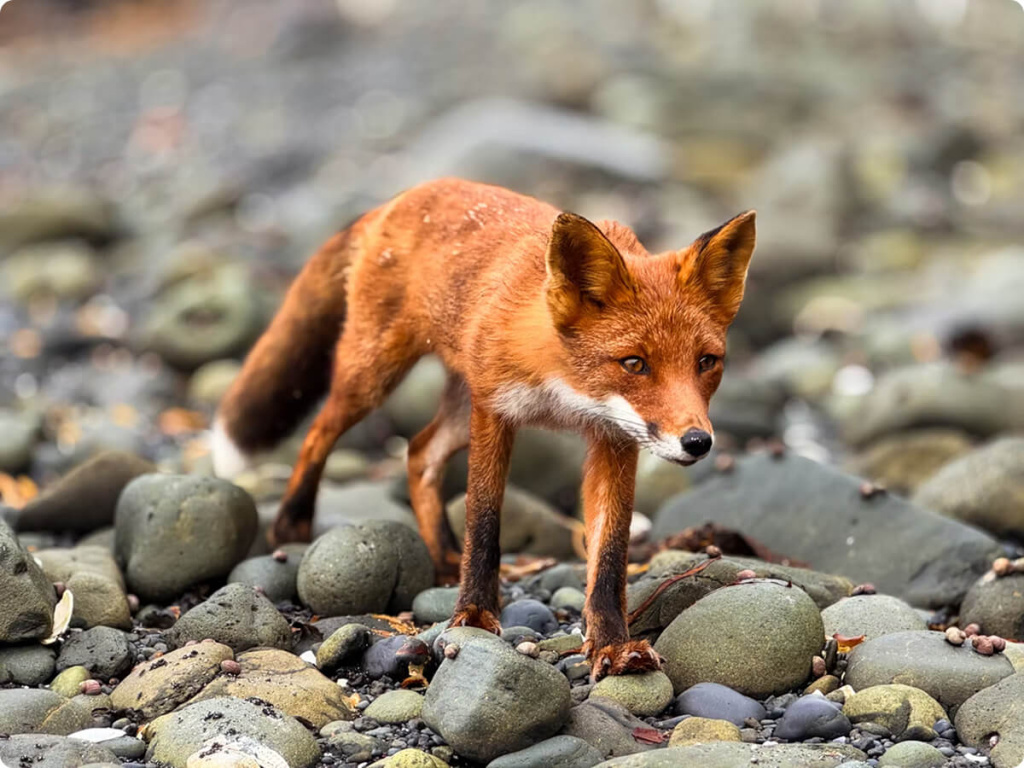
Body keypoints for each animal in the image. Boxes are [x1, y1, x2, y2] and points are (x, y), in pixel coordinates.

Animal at [213, 177, 755, 679]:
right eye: (635, 364)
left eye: (706, 362)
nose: (698, 442)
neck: (563, 388)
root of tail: (403, 197)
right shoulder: (494, 411)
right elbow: (485, 520)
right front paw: (473, 614)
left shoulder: (613, 436)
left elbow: (610, 553)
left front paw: (612, 644)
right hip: (373, 376)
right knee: (318, 433)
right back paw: (293, 523)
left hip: (454, 404)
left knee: (418, 452)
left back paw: (441, 556)